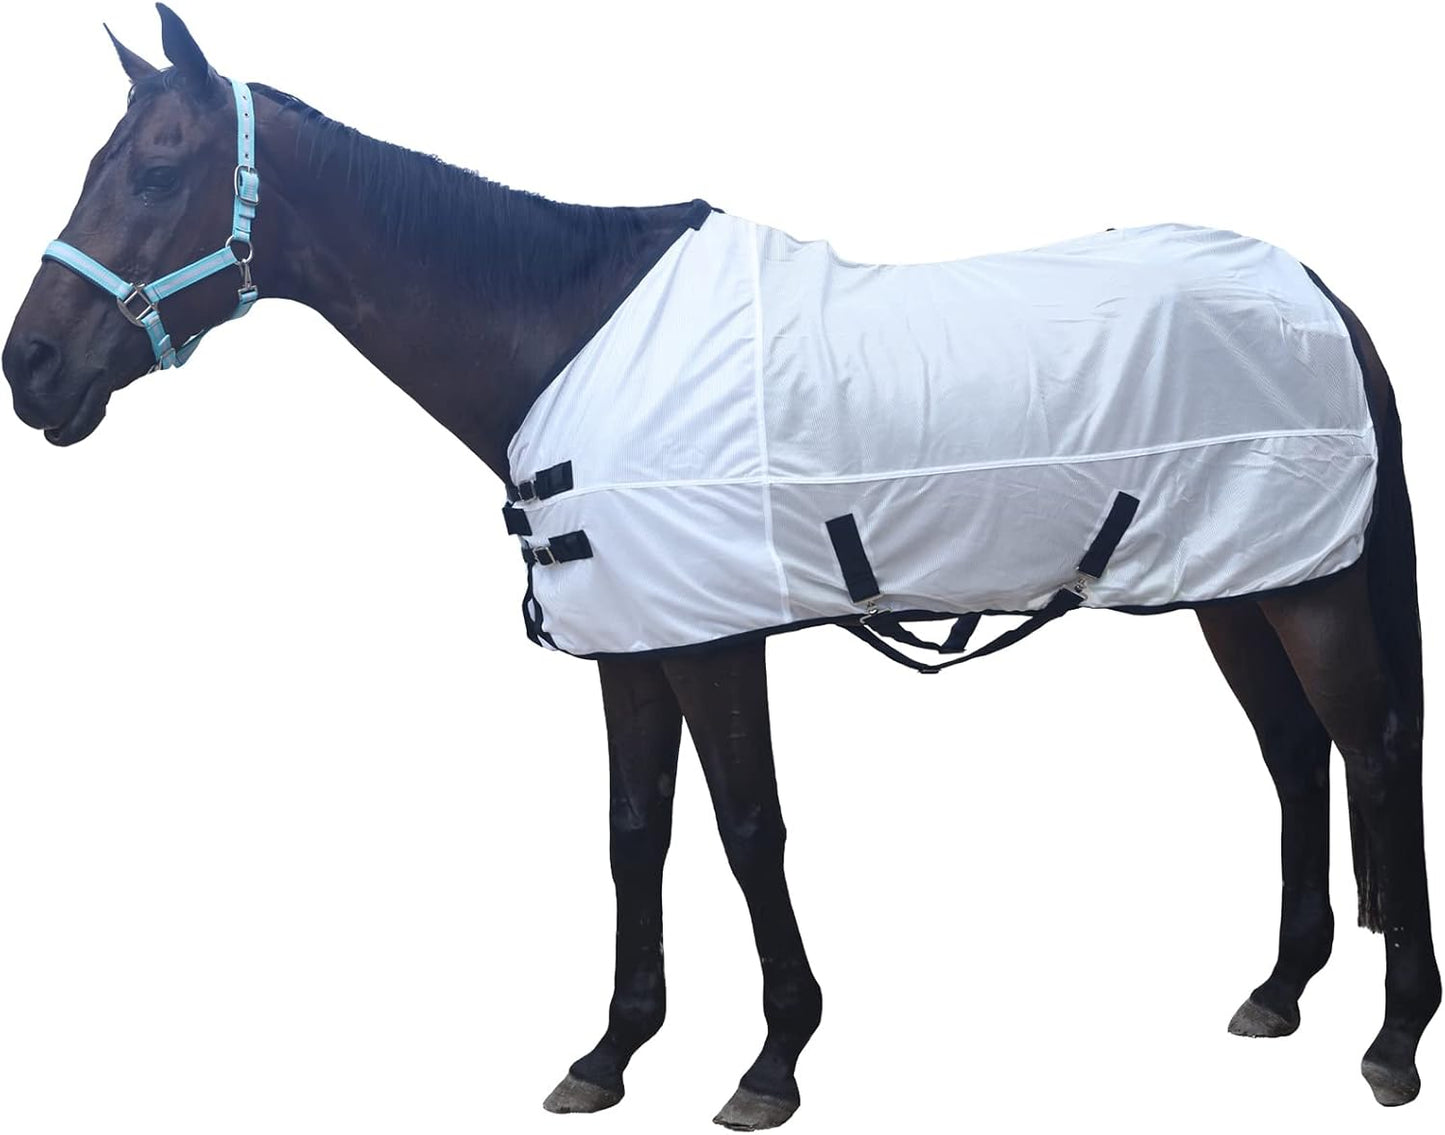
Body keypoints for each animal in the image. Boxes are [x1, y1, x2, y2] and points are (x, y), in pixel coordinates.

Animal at [3, 6, 1437, 1128]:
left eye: (157, 170)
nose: (31, 369)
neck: (560, 331)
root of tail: (1318, 291)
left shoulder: (709, 636)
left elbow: (750, 827)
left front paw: (773, 1058)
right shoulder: (631, 641)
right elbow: (635, 831)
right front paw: (608, 1049)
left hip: (1307, 593)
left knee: (1369, 754)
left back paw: (1391, 1035)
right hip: (1239, 588)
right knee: (1292, 755)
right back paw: (1280, 989)